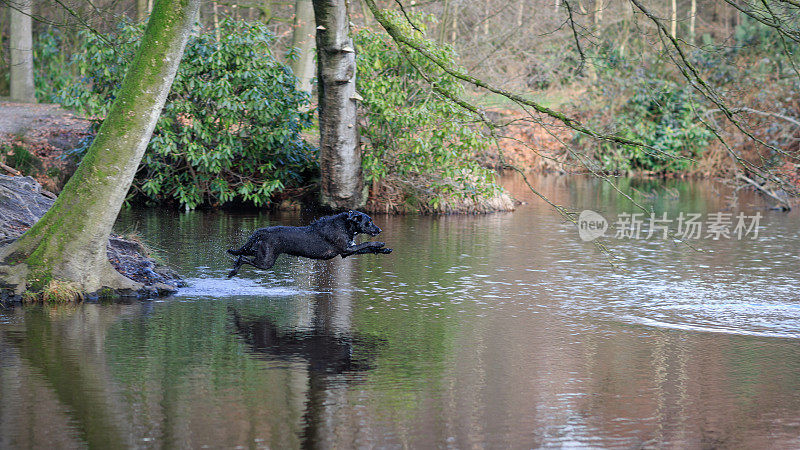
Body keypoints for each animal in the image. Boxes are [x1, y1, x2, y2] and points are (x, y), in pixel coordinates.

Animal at [227, 211, 392, 278]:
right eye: (369, 222)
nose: (379, 230)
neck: (346, 225)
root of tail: (263, 231)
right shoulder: (346, 249)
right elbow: (366, 243)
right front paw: (380, 243)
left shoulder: (347, 251)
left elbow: (368, 248)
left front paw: (385, 250)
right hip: (266, 261)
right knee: (242, 258)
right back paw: (232, 272)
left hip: (258, 251)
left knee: (240, 254)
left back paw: (233, 268)